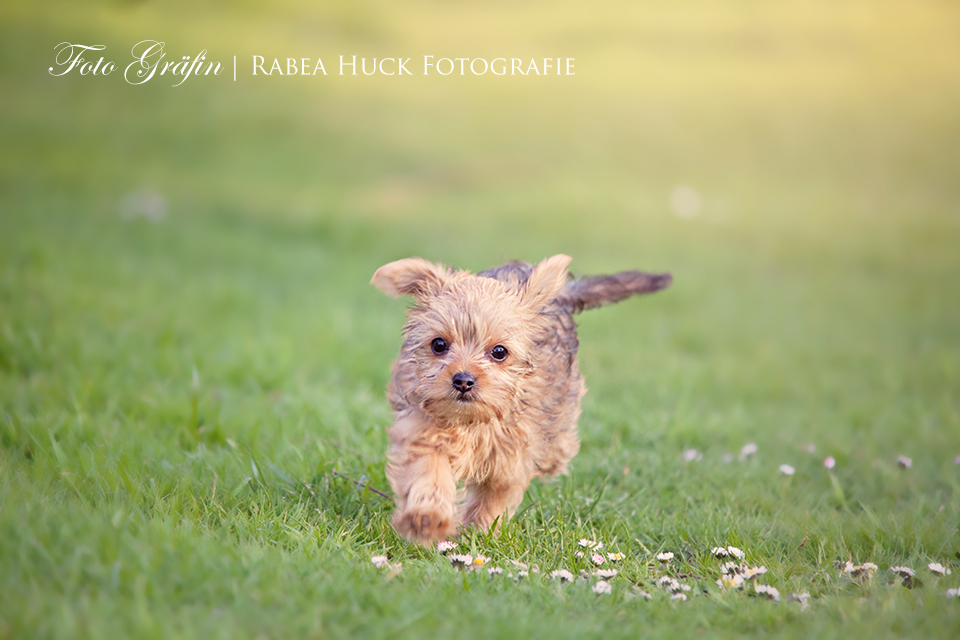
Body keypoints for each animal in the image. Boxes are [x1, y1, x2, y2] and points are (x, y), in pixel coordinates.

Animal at [372, 255, 672, 544]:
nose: (463, 381)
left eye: (499, 352)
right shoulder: (423, 432)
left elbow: (494, 498)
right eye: (438, 344)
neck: (473, 421)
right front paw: (427, 519)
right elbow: (429, 474)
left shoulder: (511, 457)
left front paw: (479, 533)